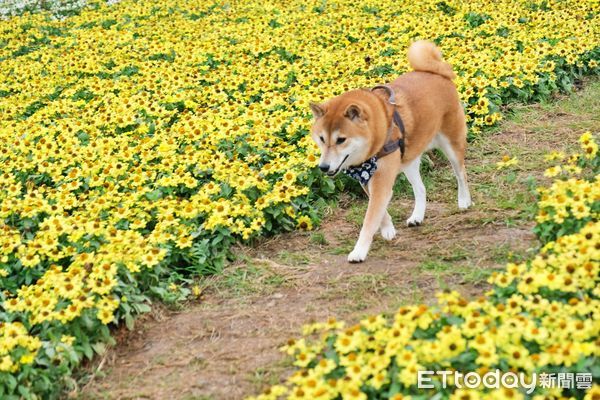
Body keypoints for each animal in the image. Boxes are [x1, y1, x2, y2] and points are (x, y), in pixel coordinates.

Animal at [310, 40, 474, 262]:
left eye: (341, 140)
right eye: (321, 139)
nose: (324, 167)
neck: (377, 134)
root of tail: (439, 73)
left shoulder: (380, 181)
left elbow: (370, 219)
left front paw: (359, 251)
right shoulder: (367, 179)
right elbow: (380, 211)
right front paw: (388, 230)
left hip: (451, 144)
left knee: (461, 174)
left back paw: (464, 201)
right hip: (409, 160)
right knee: (421, 188)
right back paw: (417, 217)